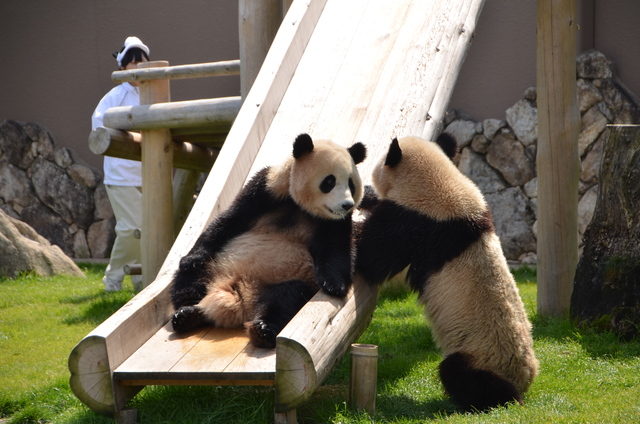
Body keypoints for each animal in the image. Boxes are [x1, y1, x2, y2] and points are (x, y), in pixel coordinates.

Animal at [170, 132, 368, 348]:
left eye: (351, 184)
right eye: (329, 182)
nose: (347, 204)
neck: (299, 205)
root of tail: (241, 298)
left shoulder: (334, 222)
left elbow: (337, 249)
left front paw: (334, 285)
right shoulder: (265, 189)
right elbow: (229, 220)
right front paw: (192, 258)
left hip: (289, 281)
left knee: (286, 298)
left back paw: (263, 330)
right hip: (216, 265)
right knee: (190, 277)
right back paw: (188, 312)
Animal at [358, 134, 536, 412]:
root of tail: (524, 380)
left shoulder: (417, 223)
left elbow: (372, 256)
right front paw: (366, 196)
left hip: (479, 355)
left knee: (462, 375)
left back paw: (494, 399)